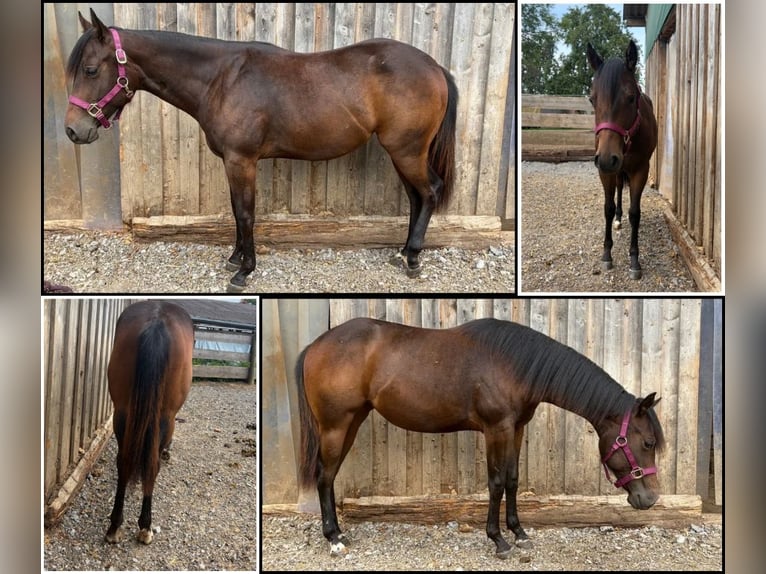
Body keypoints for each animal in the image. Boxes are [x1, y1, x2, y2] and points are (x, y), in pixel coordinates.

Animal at [64, 10, 458, 292]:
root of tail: (435, 67)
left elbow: (246, 213)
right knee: (416, 197)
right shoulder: (232, 162)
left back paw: (413, 259)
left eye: (91, 69)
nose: (72, 130)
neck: (222, 79)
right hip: (404, 153)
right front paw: (235, 258)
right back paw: (403, 252)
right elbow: (236, 212)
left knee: (429, 192)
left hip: (407, 150)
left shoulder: (242, 161)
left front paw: (244, 271)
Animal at [105, 300, 194, 544]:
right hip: (165, 415)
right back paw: (145, 527)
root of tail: (156, 323)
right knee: (153, 464)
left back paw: (114, 526)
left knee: (124, 461)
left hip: (122, 412)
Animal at [296, 317, 664, 559]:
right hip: (336, 426)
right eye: (648, 443)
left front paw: (520, 533)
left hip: (352, 422)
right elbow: (496, 483)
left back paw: (337, 533)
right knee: (325, 476)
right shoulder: (496, 428)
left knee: (329, 476)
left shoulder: (516, 428)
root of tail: (315, 345)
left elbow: (513, 480)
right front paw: (499, 541)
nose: (649, 499)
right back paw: (334, 539)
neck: (516, 365)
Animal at [587, 40, 658, 280]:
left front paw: (634, 260)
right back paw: (618, 219)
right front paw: (607, 254)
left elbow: (635, 213)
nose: (607, 158)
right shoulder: (604, 172)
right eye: (592, 99)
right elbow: (607, 208)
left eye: (631, 98)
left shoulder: (640, 171)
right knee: (618, 189)